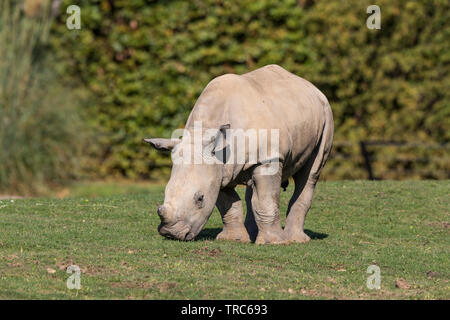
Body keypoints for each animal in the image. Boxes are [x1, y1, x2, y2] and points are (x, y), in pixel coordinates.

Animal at [145, 63, 334, 244]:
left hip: (326, 114)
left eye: (200, 199)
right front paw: (233, 239)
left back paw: (294, 239)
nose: (170, 234)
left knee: (310, 175)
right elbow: (228, 204)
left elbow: (265, 202)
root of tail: (311, 86)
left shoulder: (268, 158)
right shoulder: (218, 168)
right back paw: (253, 235)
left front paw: (274, 243)